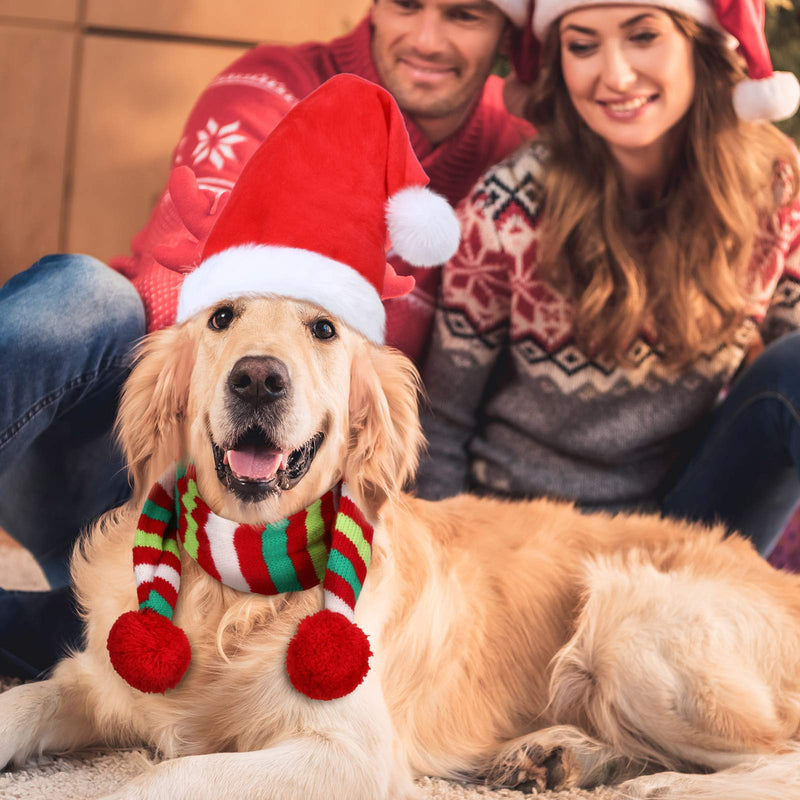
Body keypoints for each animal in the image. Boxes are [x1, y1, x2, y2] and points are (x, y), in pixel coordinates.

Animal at [1, 296, 800, 800]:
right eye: (221, 317)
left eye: (324, 329)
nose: (258, 377)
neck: (232, 584)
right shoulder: (99, 679)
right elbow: (23, 703)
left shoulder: (350, 755)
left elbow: (159, 777)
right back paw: (557, 756)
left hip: (632, 623)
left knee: (777, 757)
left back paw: (662, 784)